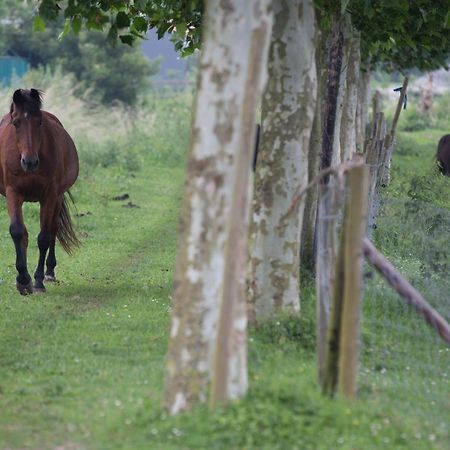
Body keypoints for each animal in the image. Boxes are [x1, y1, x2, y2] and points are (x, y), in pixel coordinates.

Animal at [0, 89, 79, 294]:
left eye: (40, 122)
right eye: (16, 122)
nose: (30, 162)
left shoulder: (49, 195)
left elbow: (44, 237)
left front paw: (37, 281)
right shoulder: (13, 193)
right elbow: (17, 231)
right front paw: (22, 280)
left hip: (57, 198)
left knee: (53, 229)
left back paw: (49, 273)